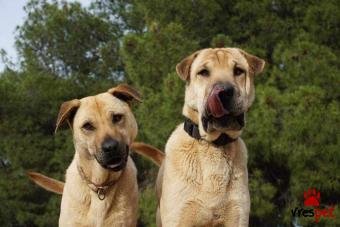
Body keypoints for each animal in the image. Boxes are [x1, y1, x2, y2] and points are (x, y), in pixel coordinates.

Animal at [135, 47, 266, 226]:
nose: (224, 91)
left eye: (238, 71)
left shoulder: (237, 215)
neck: (214, 145)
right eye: (203, 72)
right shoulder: (179, 215)